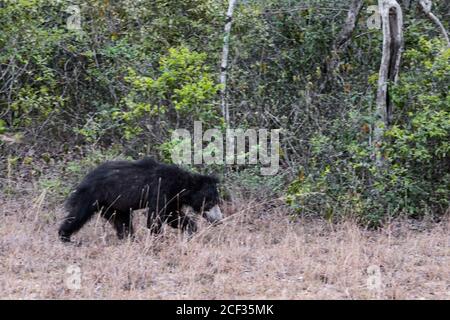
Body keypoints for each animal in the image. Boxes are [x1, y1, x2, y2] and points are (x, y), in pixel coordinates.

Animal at [59, 156, 222, 241]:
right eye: (211, 202)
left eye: (217, 201)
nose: (219, 220)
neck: (179, 187)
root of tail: (84, 180)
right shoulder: (160, 190)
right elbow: (155, 218)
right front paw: (159, 239)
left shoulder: (172, 199)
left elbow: (173, 216)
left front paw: (191, 230)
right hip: (93, 196)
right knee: (77, 215)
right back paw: (65, 236)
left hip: (114, 205)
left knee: (122, 222)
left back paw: (129, 238)